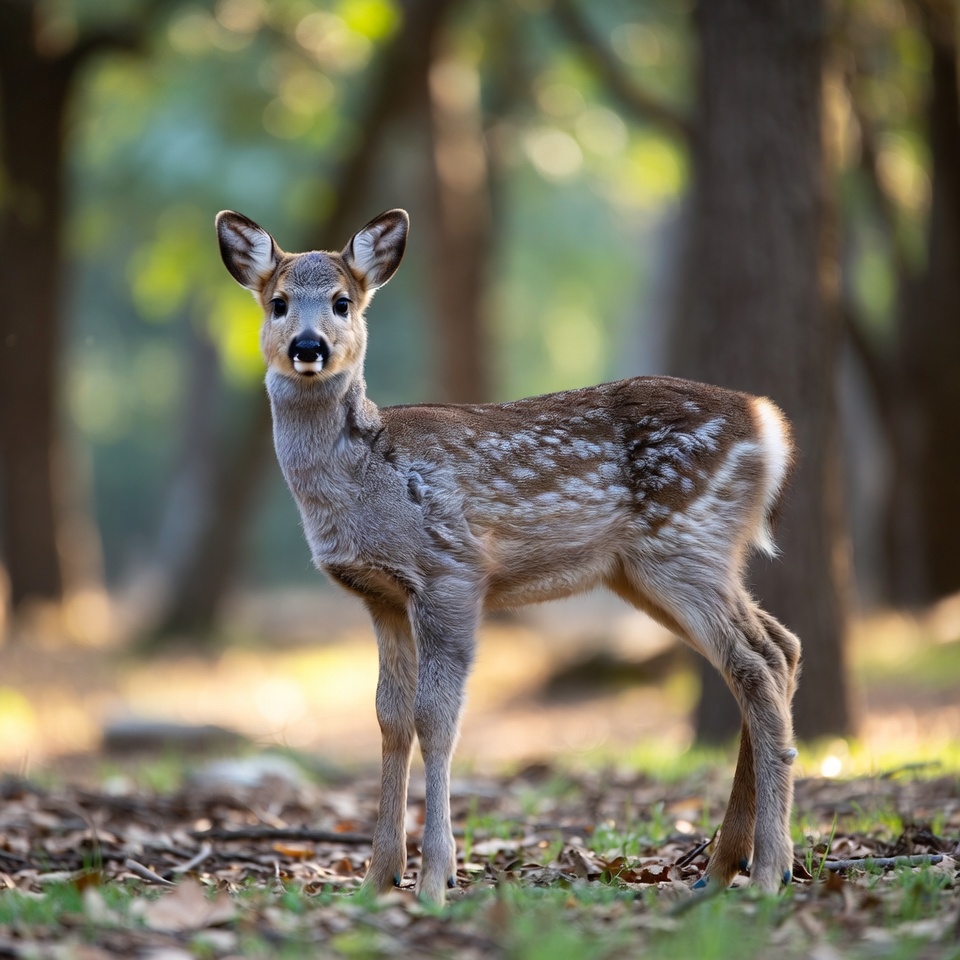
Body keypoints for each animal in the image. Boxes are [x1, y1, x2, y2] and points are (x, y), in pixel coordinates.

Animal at [215, 207, 802, 904]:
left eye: (342, 302)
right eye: (277, 302)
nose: (309, 347)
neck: (365, 476)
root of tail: (769, 426)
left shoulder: (450, 571)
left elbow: (437, 719)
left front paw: (435, 880)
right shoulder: (380, 596)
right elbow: (390, 719)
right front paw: (378, 878)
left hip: (685, 545)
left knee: (757, 663)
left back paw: (768, 870)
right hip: (651, 570)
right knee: (778, 646)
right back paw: (723, 868)